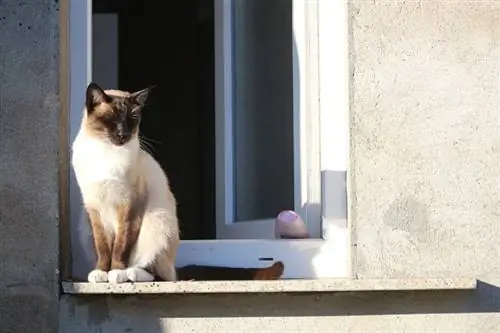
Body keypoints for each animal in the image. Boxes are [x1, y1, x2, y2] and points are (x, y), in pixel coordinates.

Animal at [70, 81, 180, 282]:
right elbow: (103, 246)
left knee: (158, 273)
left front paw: (115, 271)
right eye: (111, 117)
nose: (123, 134)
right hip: (85, 227)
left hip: (157, 222)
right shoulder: (94, 208)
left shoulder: (129, 205)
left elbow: (121, 245)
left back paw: (128, 273)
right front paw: (101, 272)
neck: (106, 151)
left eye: (133, 118)